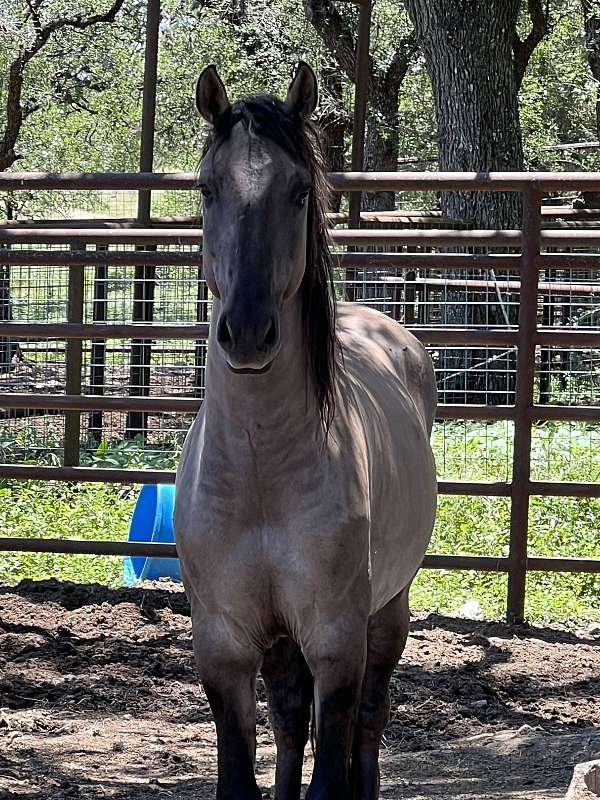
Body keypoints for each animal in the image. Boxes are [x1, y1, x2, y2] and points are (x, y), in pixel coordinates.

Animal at [174, 61, 437, 800]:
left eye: (297, 192)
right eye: (207, 188)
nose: (247, 332)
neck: (262, 471)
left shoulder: (337, 640)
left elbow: (336, 758)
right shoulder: (224, 646)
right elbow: (248, 766)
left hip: (388, 612)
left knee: (368, 724)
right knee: (292, 719)